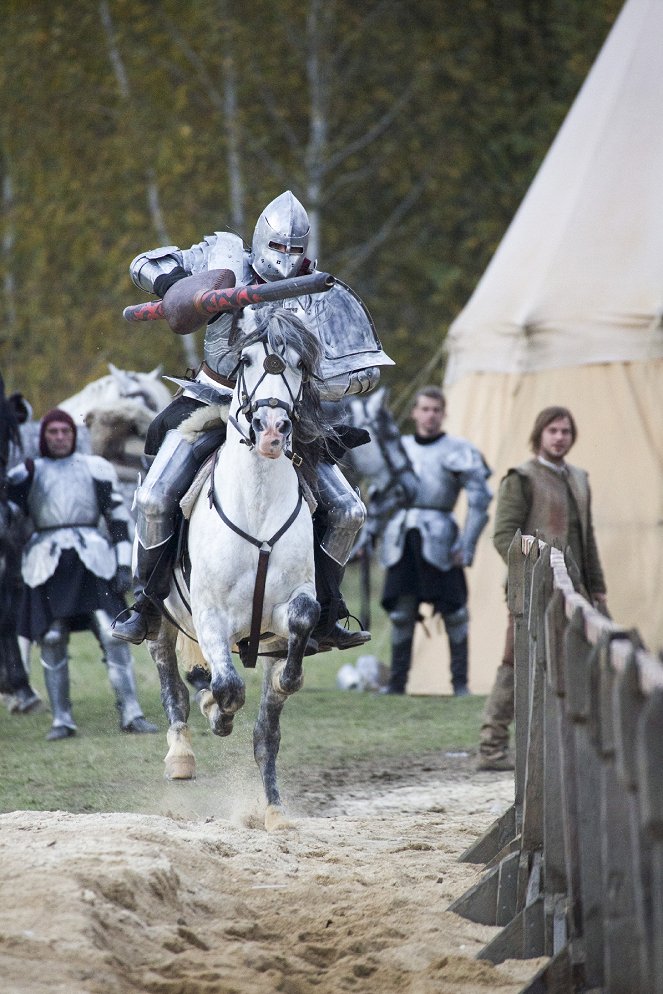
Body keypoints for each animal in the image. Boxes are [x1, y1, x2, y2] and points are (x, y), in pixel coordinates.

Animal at [148, 304, 330, 828]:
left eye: (299, 363)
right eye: (245, 360)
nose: (272, 431)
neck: (257, 504)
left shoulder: (288, 610)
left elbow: (304, 619)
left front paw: (291, 678)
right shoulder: (209, 616)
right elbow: (227, 685)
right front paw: (217, 709)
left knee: (266, 734)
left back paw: (273, 810)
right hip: (162, 615)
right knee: (169, 669)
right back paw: (181, 754)